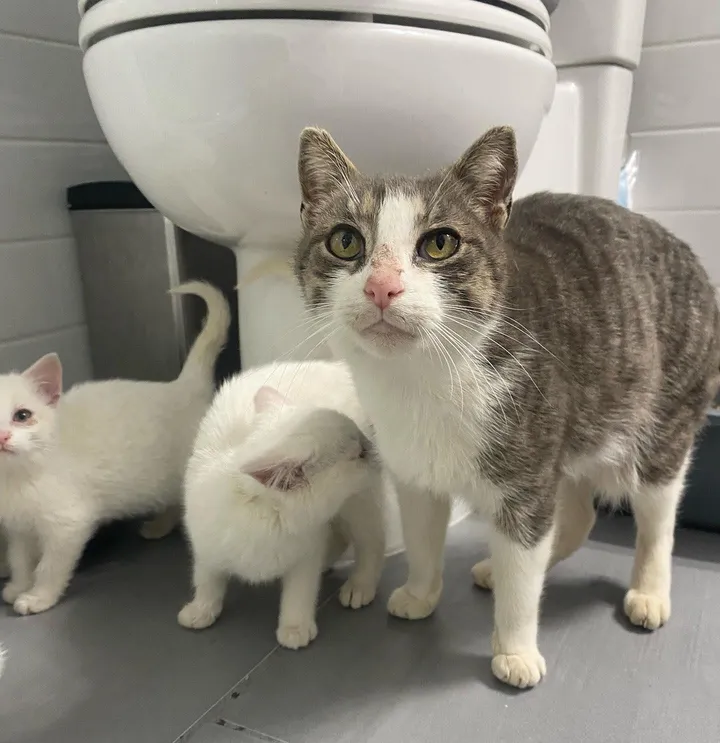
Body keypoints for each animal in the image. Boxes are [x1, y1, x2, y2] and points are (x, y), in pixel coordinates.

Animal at [0, 280, 229, 616]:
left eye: (22, 415)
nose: (2, 437)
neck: (14, 478)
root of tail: (183, 387)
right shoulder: (17, 529)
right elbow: (19, 559)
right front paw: (18, 585)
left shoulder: (68, 523)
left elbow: (50, 566)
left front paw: (38, 596)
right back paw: (160, 525)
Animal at [178, 362, 386, 652]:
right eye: (360, 454)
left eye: (364, 440)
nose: (376, 450)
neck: (265, 518)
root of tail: (337, 365)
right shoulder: (205, 545)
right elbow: (207, 580)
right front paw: (201, 610)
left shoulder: (307, 551)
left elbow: (299, 592)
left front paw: (295, 628)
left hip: (358, 502)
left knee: (372, 541)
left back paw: (360, 585)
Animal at [292, 125, 720, 688]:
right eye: (345, 241)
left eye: (440, 243)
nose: (382, 285)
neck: (421, 381)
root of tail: (685, 250)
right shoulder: (415, 470)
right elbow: (423, 536)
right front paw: (420, 593)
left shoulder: (526, 475)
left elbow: (525, 557)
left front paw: (515, 650)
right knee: (577, 514)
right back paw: (499, 569)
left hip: (662, 419)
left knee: (656, 513)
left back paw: (648, 592)